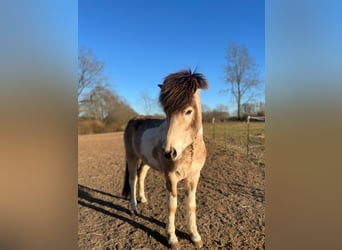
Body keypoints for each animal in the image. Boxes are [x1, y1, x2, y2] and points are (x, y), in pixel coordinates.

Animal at [123, 69, 208, 249]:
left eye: (188, 111)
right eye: (167, 113)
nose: (169, 152)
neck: (188, 151)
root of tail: (133, 120)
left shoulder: (194, 177)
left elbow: (191, 205)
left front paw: (195, 236)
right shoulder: (171, 177)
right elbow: (172, 206)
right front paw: (172, 238)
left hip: (146, 161)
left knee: (141, 176)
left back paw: (143, 199)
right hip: (131, 157)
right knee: (133, 180)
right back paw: (133, 208)